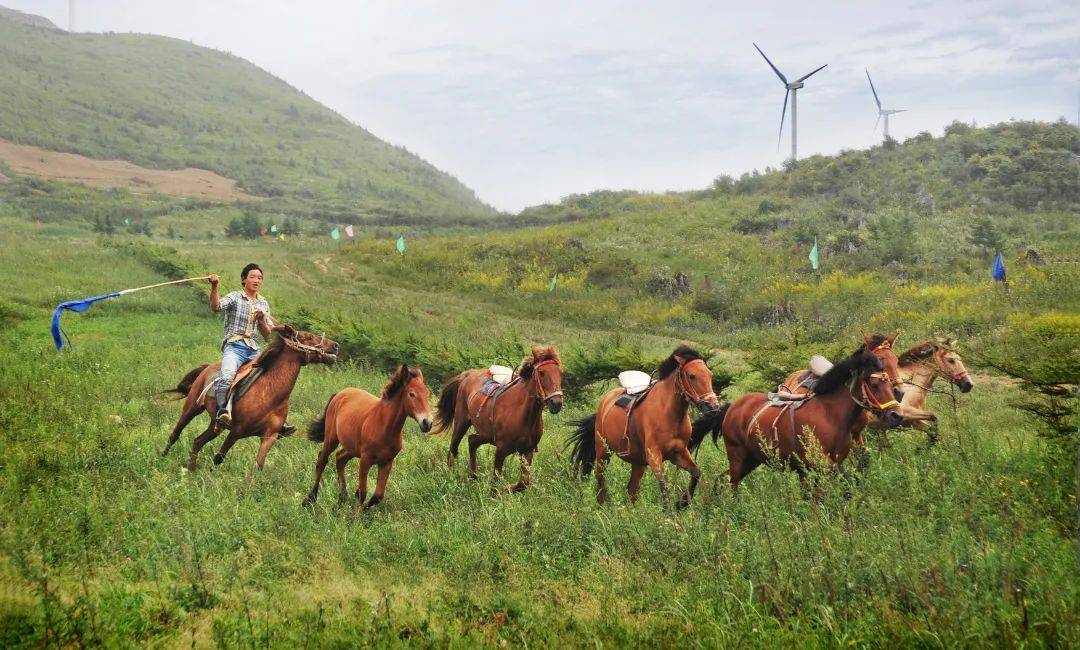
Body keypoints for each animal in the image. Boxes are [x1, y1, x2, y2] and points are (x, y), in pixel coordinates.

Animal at [159, 323, 334, 470]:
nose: (335, 346)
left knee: (198, 441)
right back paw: (163, 457)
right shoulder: (237, 431)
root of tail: (207, 367)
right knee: (175, 434)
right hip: (192, 409)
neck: (270, 393)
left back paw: (191, 468)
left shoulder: (269, 436)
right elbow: (219, 457)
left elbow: (259, 465)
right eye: (309, 337)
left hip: (215, 425)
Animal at [302, 364, 432, 505]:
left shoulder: (386, 462)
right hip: (332, 439)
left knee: (340, 458)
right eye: (411, 394)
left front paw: (358, 506)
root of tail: (340, 393)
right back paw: (310, 499)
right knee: (322, 460)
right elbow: (362, 493)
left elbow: (378, 495)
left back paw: (342, 498)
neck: (384, 426)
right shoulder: (365, 460)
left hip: (353, 448)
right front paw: (356, 509)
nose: (428, 423)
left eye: (427, 394)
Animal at [432, 343, 565, 490]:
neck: (522, 415)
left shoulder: (527, 451)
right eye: (541, 373)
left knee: (472, 441)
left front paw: (506, 488)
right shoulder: (501, 451)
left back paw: (474, 475)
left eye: (560, 373)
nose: (556, 403)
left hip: (486, 434)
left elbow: (523, 483)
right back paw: (449, 476)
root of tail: (467, 375)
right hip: (461, 423)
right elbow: (495, 483)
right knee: (453, 449)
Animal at [565, 343, 725, 505]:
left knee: (631, 490)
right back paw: (602, 505)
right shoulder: (654, 455)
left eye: (710, 375)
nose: (713, 406)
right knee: (601, 479)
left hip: (638, 463)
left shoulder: (679, 453)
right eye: (692, 376)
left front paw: (682, 503)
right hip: (603, 452)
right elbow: (663, 488)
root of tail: (604, 402)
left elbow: (697, 473)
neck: (669, 414)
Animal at [691, 336, 902, 483]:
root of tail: (732, 407)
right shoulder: (817, 466)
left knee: (722, 481)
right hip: (738, 457)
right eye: (874, 384)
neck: (831, 416)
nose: (896, 414)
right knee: (730, 484)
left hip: (752, 458)